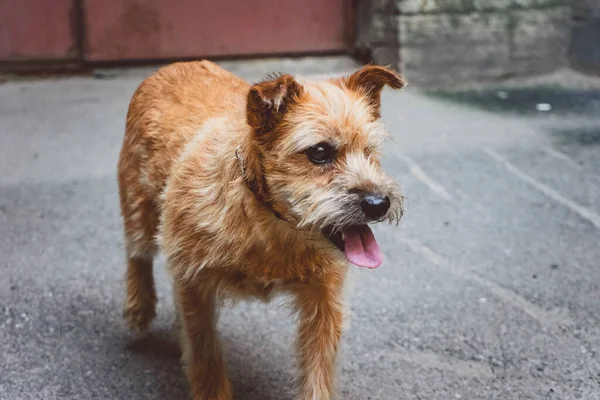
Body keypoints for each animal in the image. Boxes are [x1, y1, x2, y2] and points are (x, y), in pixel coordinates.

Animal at [116, 60, 408, 400]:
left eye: (370, 151)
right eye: (319, 152)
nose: (379, 203)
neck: (272, 224)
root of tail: (173, 66)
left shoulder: (324, 306)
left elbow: (317, 373)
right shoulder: (194, 287)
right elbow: (205, 357)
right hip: (139, 211)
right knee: (137, 255)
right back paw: (139, 307)